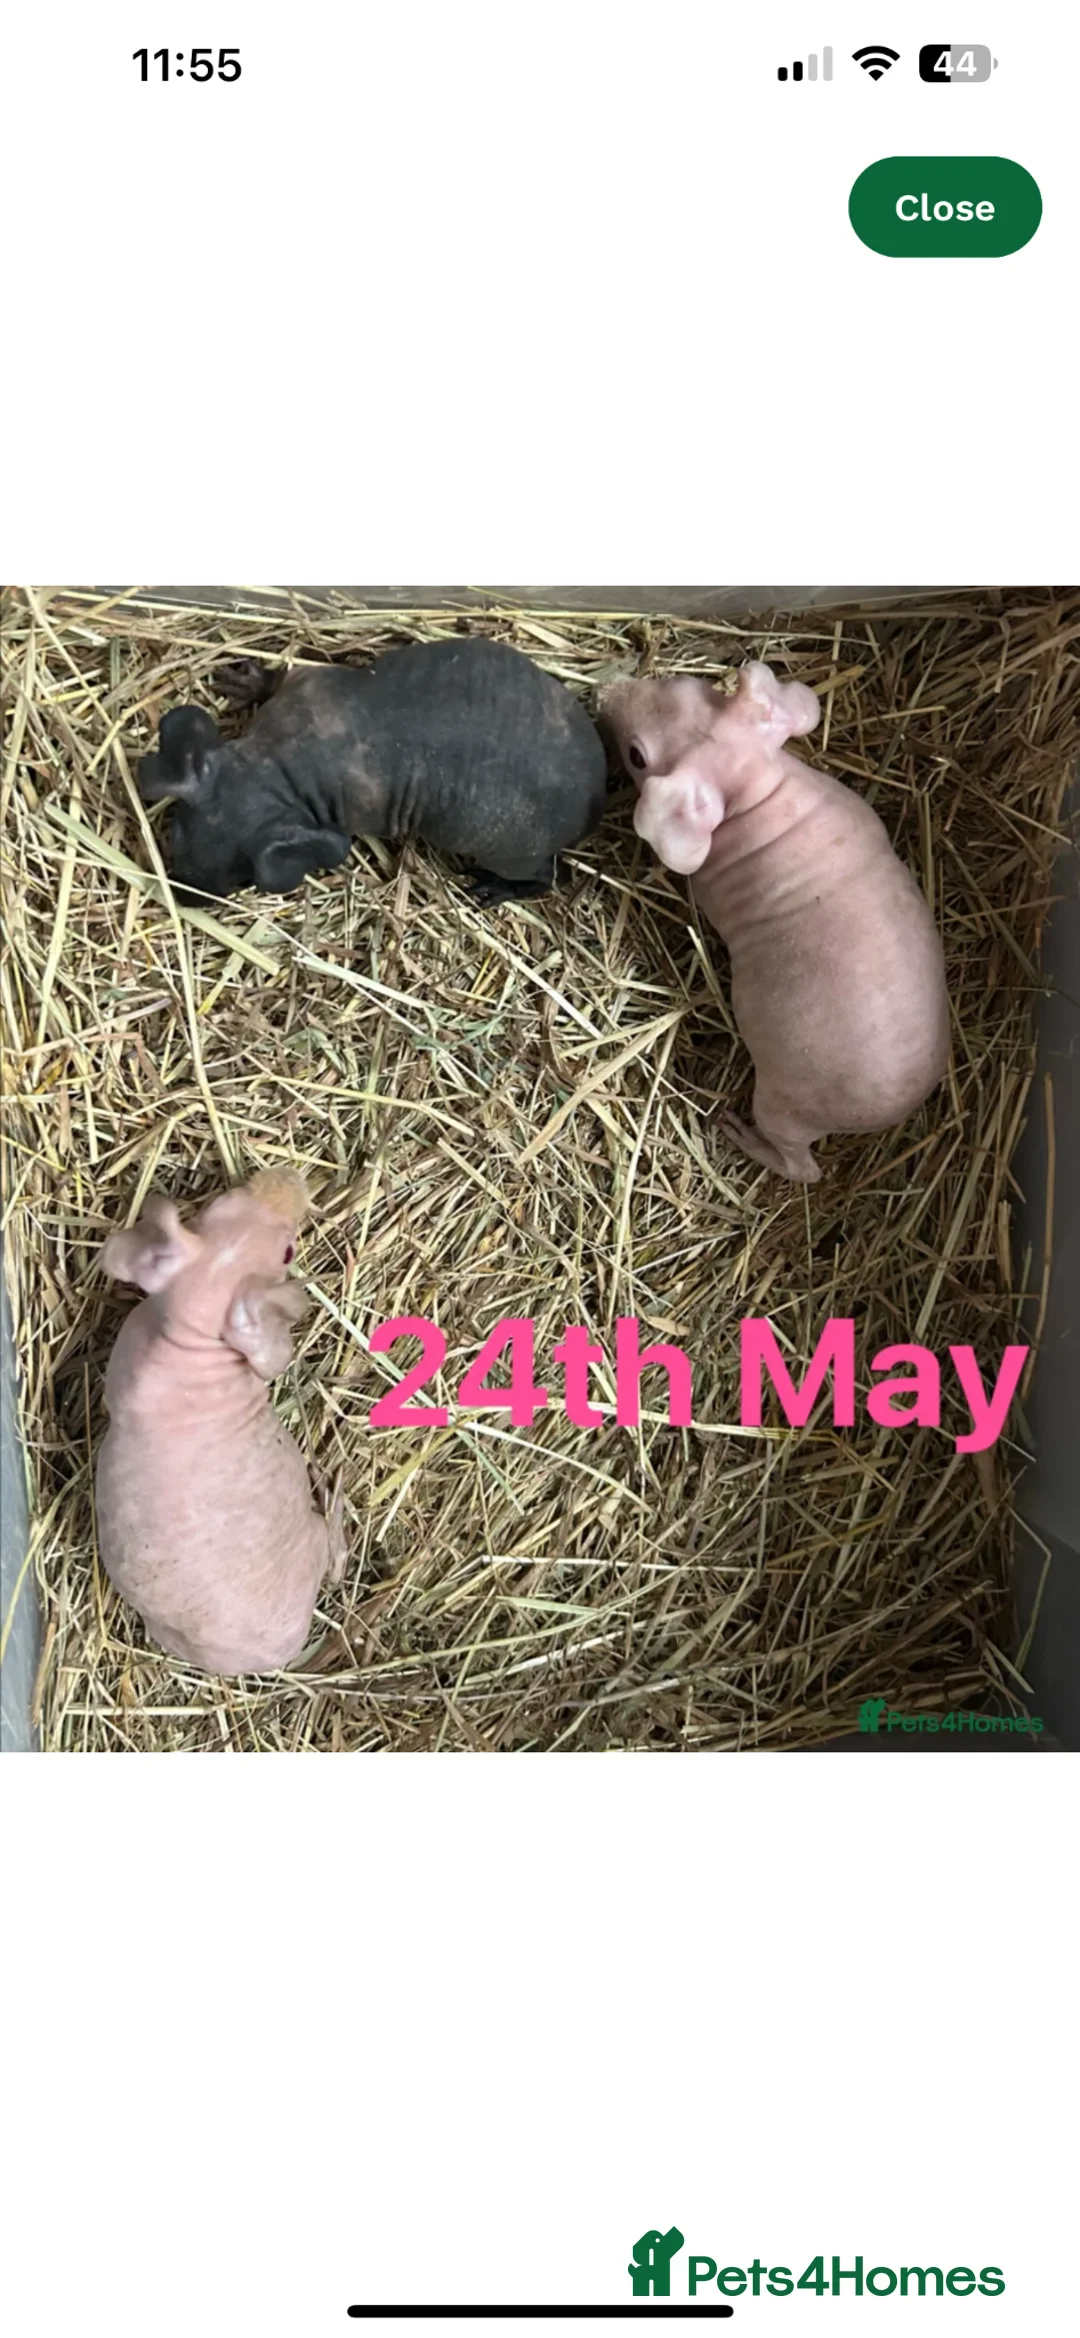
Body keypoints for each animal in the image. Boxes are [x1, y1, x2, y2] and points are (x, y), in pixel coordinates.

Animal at [94, 1169, 345, 1676]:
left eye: (216, 1206)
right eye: (288, 1251)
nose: (289, 1177)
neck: (190, 1333)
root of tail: (281, 1653)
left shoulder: (133, 1337)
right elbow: (274, 1361)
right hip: (312, 1543)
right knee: (335, 1558)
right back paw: (337, 1499)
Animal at [137, 636, 608, 905]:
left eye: (242, 878)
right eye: (175, 836)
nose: (182, 897)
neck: (277, 767)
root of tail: (598, 798)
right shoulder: (302, 685)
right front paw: (248, 682)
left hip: (511, 852)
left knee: (545, 878)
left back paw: (499, 888)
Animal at [601, 661, 950, 1183]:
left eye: (637, 756)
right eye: (689, 683)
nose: (605, 691)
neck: (760, 788)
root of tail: (887, 1114)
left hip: (784, 1104)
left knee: (803, 1168)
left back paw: (740, 1135)